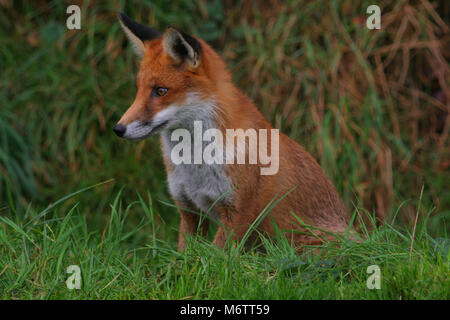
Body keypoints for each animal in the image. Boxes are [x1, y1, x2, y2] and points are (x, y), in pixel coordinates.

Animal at [113, 13, 352, 251]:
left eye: (160, 91)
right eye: (138, 90)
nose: (118, 129)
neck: (194, 163)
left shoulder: (238, 211)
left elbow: (216, 257)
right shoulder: (189, 209)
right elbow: (186, 257)